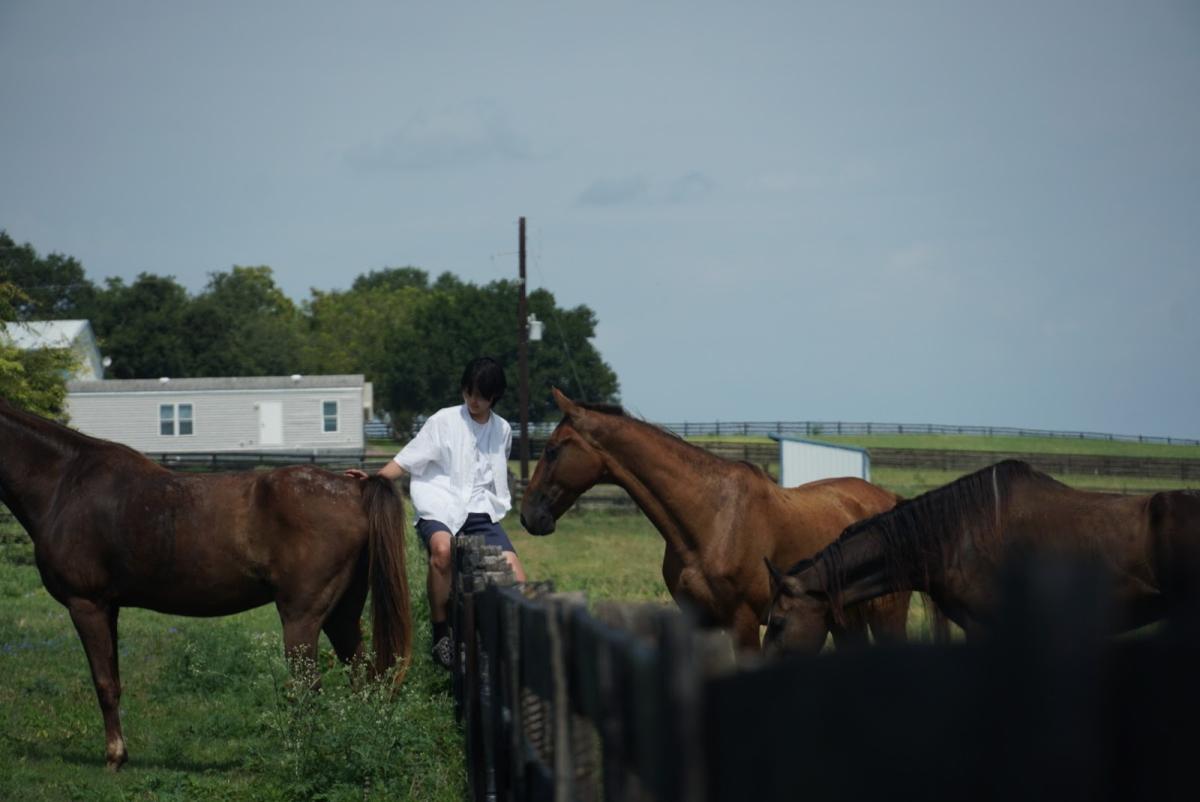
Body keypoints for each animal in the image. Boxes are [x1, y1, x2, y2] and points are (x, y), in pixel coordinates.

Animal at [0, 396, 412, 770]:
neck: (64, 483)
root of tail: (352, 490)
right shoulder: (109, 608)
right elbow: (113, 678)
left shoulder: (87, 604)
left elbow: (104, 684)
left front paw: (115, 757)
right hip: (342, 614)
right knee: (363, 678)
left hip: (303, 617)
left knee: (308, 687)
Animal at [519, 388, 912, 652]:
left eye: (552, 450)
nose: (529, 516)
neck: (711, 520)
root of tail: (891, 499)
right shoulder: (701, 622)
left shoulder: (744, 622)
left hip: (887, 611)